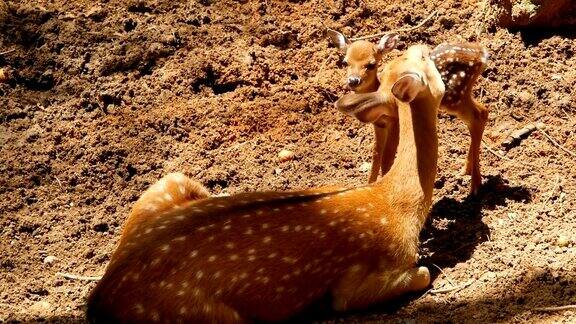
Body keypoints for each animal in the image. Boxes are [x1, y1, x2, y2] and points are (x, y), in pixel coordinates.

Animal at [86, 44, 446, 322]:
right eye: (423, 60)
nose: (425, 45)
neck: (398, 204)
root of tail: (100, 297)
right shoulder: (362, 281)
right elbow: (424, 272)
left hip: (168, 183)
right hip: (209, 316)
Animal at [330, 29, 488, 195]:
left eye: (371, 64)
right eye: (345, 62)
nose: (353, 80)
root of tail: (482, 53)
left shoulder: (395, 121)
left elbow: (387, 158)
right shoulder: (378, 125)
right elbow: (376, 155)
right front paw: (369, 185)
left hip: (454, 97)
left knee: (478, 116)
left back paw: (475, 185)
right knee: (480, 113)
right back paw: (466, 170)